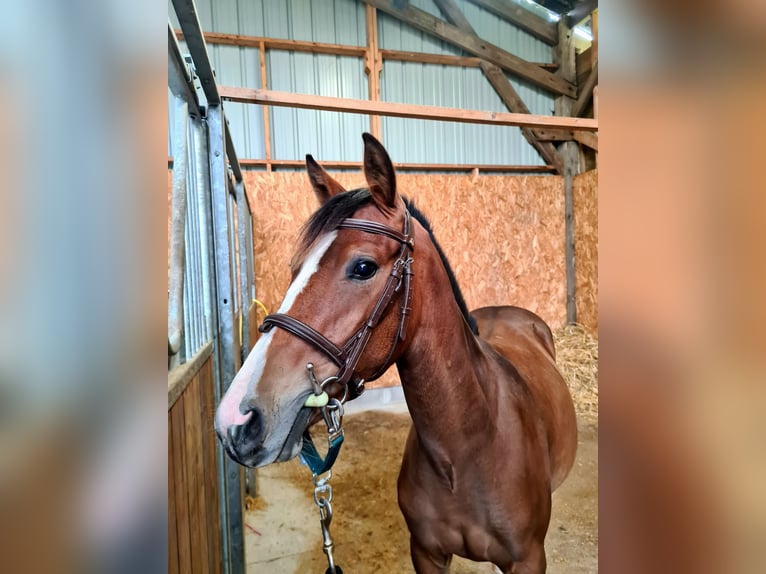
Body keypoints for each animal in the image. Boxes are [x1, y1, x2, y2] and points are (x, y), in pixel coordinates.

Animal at [214, 133, 576, 572]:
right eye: (295, 269)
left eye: (363, 267)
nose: (236, 419)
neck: (467, 449)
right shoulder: (425, 553)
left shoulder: (527, 559)